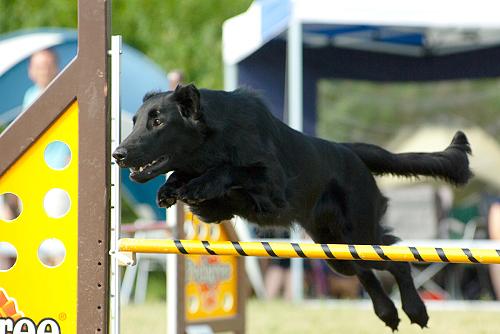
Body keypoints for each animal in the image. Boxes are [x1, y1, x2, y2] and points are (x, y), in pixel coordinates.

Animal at [114, 85, 472, 330]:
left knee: (397, 260)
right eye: (135, 121)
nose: (118, 154)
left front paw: (196, 184)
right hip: (336, 250)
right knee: (365, 272)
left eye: (158, 121)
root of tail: (349, 151)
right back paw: (388, 314)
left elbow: (229, 170)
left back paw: (415, 310)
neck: (215, 136)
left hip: (361, 233)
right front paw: (171, 189)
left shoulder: (273, 189)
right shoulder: (217, 209)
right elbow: (193, 183)